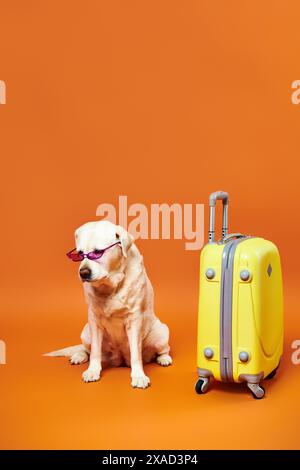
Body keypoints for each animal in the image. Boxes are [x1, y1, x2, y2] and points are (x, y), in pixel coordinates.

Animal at [44, 220, 171, 390]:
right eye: (80, 254)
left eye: (97, 253)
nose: (83, 273)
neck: (111, 285)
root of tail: (121, 359)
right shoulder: (94, 320)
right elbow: (95, 352)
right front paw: (92, 370)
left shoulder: (134, 320)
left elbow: (136, 355)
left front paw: (138, 376)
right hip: (86, 332)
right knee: (87, 349)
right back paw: (79, 355)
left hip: (161, 333)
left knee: (162, 350)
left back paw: (164, 359)